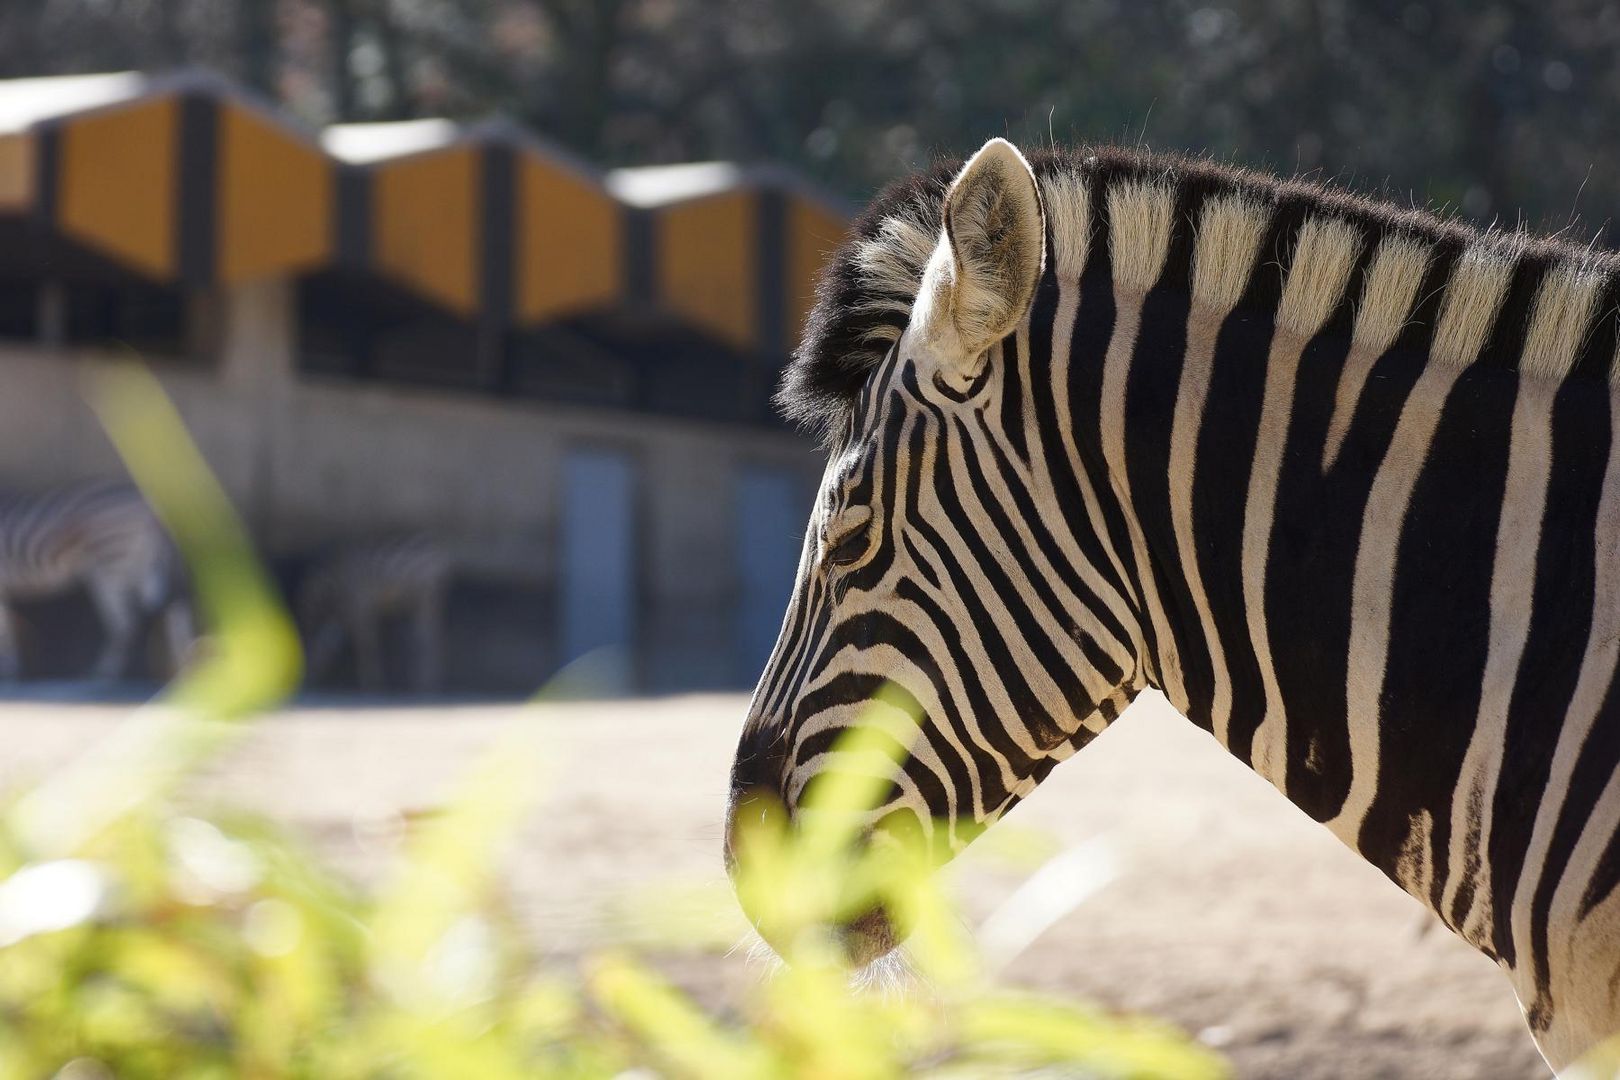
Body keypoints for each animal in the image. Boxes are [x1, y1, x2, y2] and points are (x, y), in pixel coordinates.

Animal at [0, 482, 192, 683]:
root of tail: (153, 506)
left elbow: (3, 633)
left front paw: (8, 672)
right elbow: (7, 631)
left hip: (111, 567)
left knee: (125, 625)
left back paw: (103, 672)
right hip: (144, 565)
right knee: (174, 609)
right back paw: (185, 670)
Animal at [296, 531, 450, 693]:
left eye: (306, 658)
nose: (306, 684)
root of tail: (437, 543)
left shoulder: (358, 604)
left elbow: (366, 644)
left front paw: (371, 684)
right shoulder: (347, 613)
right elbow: (338, 643)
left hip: (426, 590)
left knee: (430, 636)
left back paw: (429, 682)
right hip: (422, 594)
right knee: (428, 636)